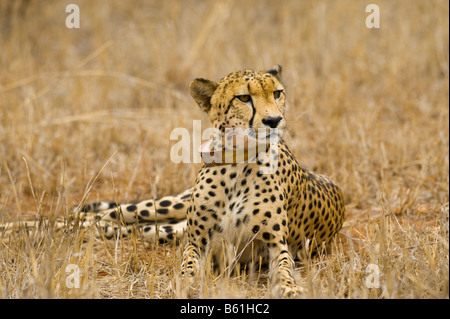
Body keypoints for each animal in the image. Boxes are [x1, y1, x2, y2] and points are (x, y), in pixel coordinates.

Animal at [0, 65, 344, 300]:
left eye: (277, 93)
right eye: (244, 97)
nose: (274, 120)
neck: (239, 160)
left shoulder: (273, 245)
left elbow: (284, 268)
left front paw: (290, 288)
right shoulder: (198, 240)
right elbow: (188, 265)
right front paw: (187, 283)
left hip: (165, 228)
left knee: (117, 227)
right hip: (166, 207)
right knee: (92, 217)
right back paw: (18, 229)